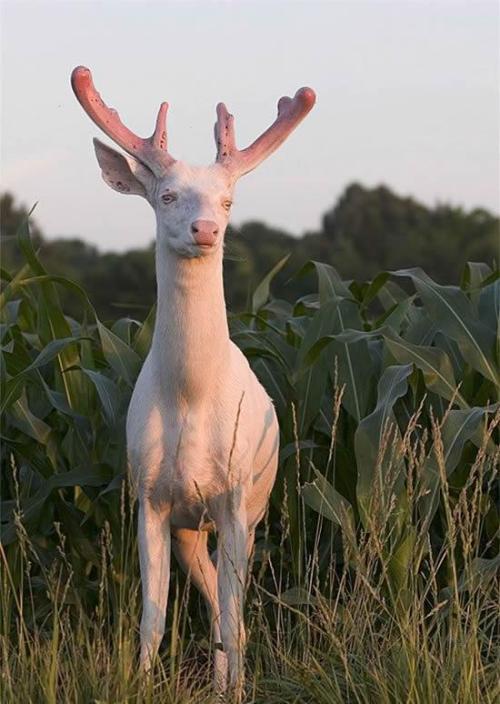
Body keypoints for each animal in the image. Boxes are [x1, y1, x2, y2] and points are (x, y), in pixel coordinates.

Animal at [71, 67, 316, 700]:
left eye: (228, 200)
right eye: (167, 196)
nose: (205, 229)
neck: (191, 398)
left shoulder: (234, 499)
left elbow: (230, 614)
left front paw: (235, 692)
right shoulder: (150, 498)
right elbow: (152, 617)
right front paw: (137, 682)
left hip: (252, 510)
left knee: (235, 610)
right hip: (190, 526)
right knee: (211, 598)